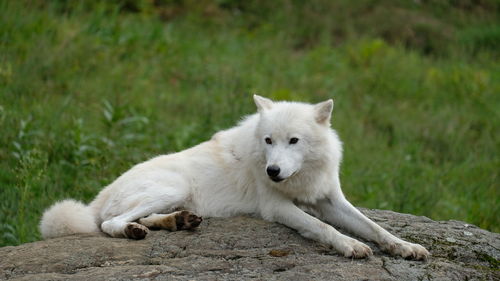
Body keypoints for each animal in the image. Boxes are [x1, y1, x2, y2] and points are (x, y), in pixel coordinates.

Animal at [39, 95, 430, 260]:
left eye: (293, 141)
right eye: (268, 140)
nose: (272, 171)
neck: (301, 176)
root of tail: (98, 197)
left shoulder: (331, 198)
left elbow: (374, 227)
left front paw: (405, 247)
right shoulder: (277, 208)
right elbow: (324, 228)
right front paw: (351, 246)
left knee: (143, 218)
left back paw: (177, 222)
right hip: (173, 186)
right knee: (110, 223)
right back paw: (135, 231)